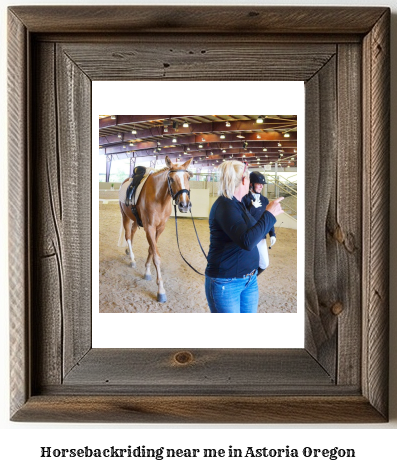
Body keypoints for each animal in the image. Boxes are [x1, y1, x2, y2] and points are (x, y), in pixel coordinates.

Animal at [117, 155, 192, 302]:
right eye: (171, 179)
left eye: (188, 177)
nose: (184, 205)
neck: (159, 198)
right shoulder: (150, 228)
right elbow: (156, 256)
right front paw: (161, 290)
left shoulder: (160, 228)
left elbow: (151, 250)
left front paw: (147, 271)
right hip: (125, 216)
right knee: (128, 235)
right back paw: (132, 259)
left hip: (136, 220)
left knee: (132, 232)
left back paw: (129, 251)